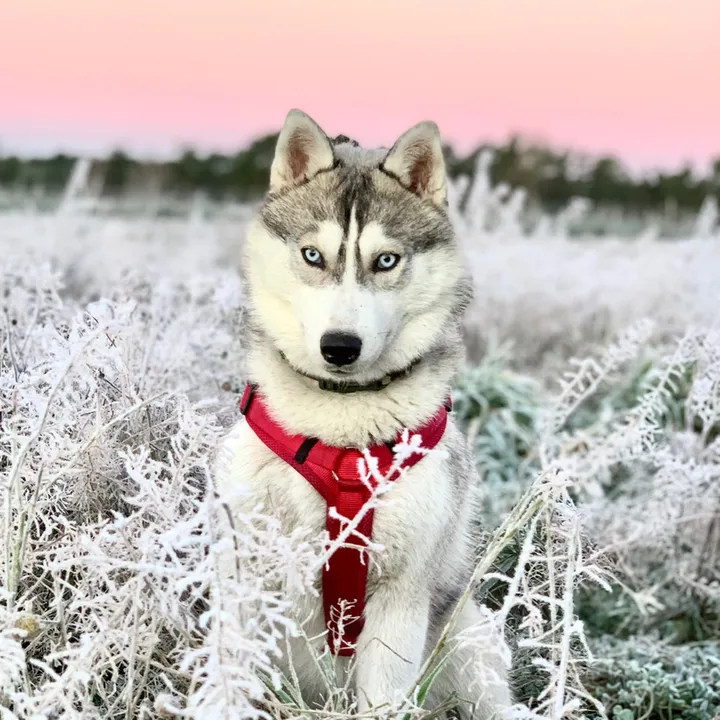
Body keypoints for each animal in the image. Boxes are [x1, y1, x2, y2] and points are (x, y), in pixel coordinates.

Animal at [213, 109, 512, 718]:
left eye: (386, 260)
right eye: (312, 255)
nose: (340, 347)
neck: (342, 433)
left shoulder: (402, 592)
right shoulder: (245, 571)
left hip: (469, 636)